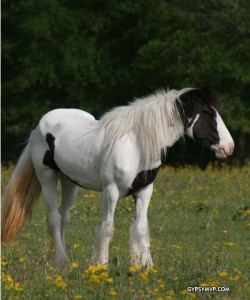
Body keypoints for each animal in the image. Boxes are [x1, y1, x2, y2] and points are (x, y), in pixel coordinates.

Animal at [1, 86, 234, 268]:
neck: (135, 145)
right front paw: (101, 265)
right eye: (208, 113)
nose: (228, 147)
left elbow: (141, 227)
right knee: (54, 218)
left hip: (69, 181)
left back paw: (59, 259)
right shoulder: (111, 191)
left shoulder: (144, 191)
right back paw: (61, 260)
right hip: (47, 176)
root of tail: (40, 123)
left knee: (64, 217)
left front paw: (145, 265)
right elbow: (107, 227)